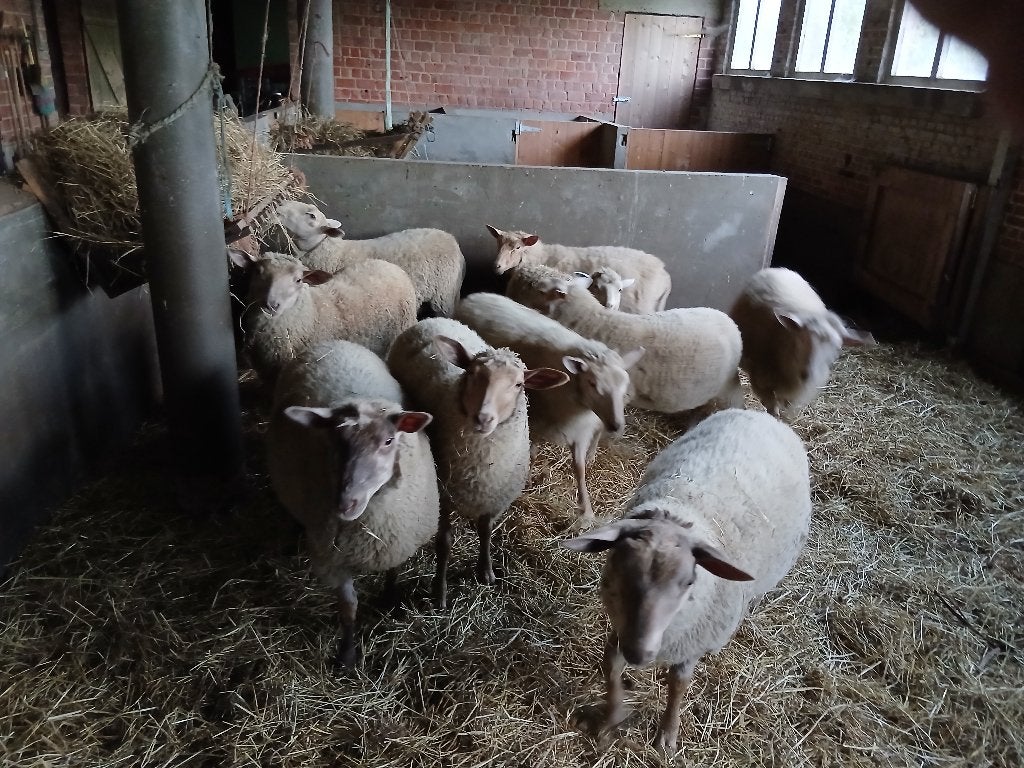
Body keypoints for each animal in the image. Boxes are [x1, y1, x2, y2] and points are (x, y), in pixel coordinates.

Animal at [268, 339, 439, 667]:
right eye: (336, 441)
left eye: (388, 441)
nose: (345, 503)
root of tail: (330, 342)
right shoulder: (334, 559)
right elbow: (348, 609)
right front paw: (347, 655)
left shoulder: (396, 539)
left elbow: (393, 571)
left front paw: (390, 598)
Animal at [387, 318, 569, 608]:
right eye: (472, 373)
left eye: (519, 384)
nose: (483, 418)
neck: (480, 469)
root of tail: (432, 319)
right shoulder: (445, 494)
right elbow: (444, 543)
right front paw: (440, 592)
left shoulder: (493, 496)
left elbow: (486, 531)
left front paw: (486, 571)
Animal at [455, 292, 644, 529]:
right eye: (592, 383)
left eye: (624, 384)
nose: (616, 425)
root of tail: (475, 296)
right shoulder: (537, 419)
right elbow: (532, 450)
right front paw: (528, 476)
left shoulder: (580, 429)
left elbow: (579, 468)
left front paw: (587, 510)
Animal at [561, 408, 811, 755]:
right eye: (617, 570)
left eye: (688, 583)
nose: (640, 654)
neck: (679, 514)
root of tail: (760, 414)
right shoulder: (622, 629)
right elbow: (610, 667)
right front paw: (611, 718)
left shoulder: (690, 642)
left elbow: (678, 685)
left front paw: (667, 734)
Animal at [729, 267, 875, 419]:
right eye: (801, 339)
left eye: (837, 347)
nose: (809, 374)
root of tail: (780, 269)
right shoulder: (761, 382)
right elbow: (772, 408)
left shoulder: (797, 395)